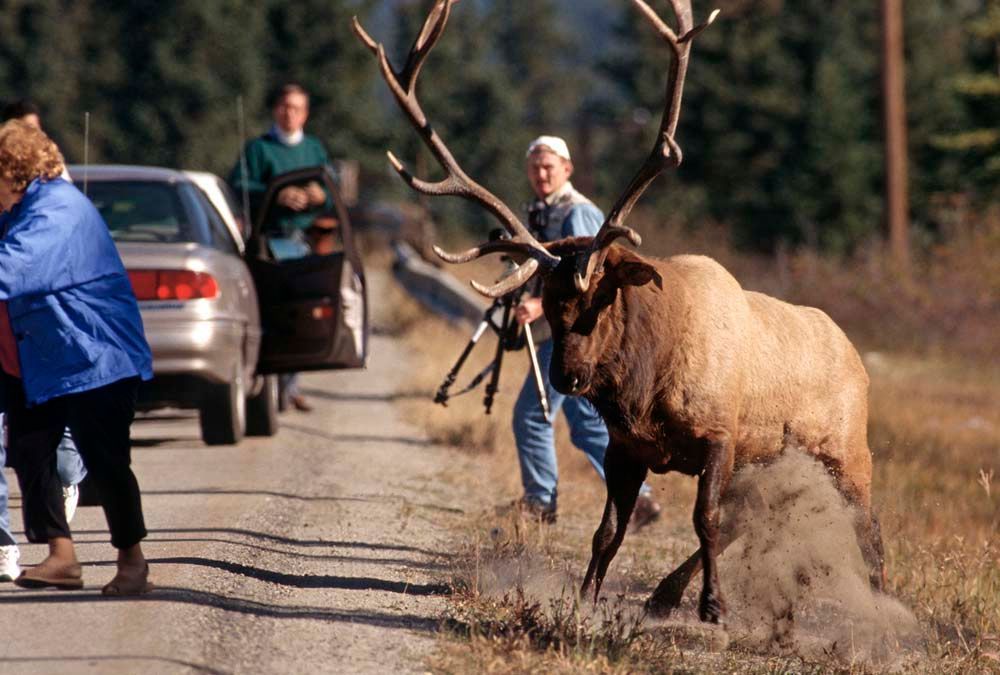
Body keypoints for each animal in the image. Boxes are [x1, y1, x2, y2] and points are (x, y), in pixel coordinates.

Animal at [354, 0, 887, 624]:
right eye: (549, 303)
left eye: (599, 302)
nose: (565, 376)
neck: (646, 388)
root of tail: (858, 359)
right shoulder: (627, 448)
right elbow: (608, 532)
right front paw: (584, 600)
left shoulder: (720, 435)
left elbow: (704, 519)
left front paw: (715, 607)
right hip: (773, 459)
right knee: (755, 519)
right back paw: (663, 594)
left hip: (847, 450)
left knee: (867, 527)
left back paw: (884, 609)